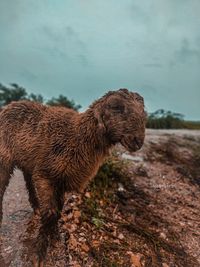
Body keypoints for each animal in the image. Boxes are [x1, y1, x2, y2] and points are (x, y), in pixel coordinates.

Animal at [0, 88, 147, 266]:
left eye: (143, 111)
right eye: (117, 107)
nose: (138, 141)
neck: (78, 137)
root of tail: (10, 105)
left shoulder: (62, 181)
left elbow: (59, 210)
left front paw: (55, 236)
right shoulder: (45, 176)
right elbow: (50, 212)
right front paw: (39, 252)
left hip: (28, 160)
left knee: (27, 179)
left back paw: (35, 205)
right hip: (4, 156)